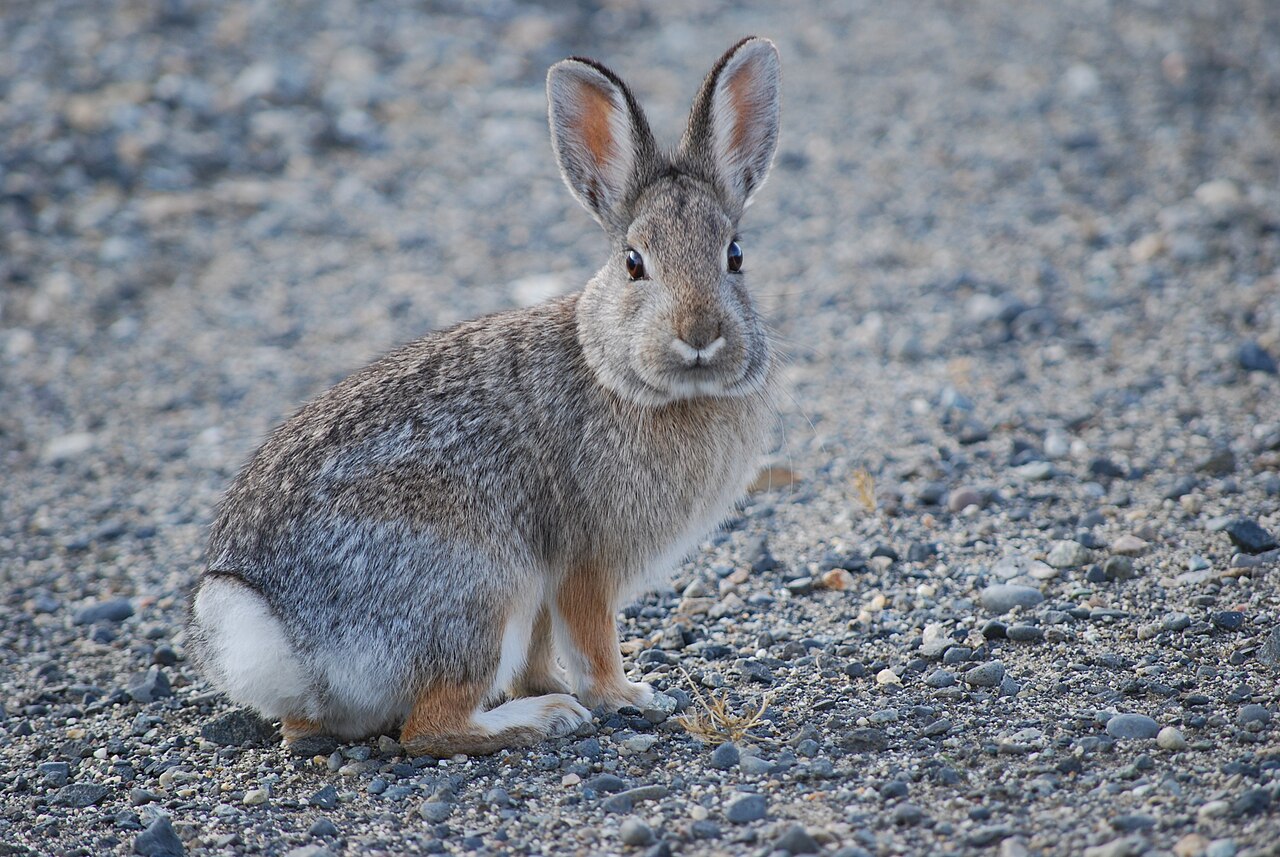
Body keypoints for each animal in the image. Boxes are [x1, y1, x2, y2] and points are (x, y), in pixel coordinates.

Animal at [187, 36, 782, 757]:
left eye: (736, 255)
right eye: (634, 263)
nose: (698, 335)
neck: (622, 373)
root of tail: (281, 634)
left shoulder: (549, 587)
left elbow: (541, 649)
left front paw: (552, 682)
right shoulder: (584, 560)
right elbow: (592, 637)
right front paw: (627, 695)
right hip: (480, 589)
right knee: (429, 727)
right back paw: (544, 718)